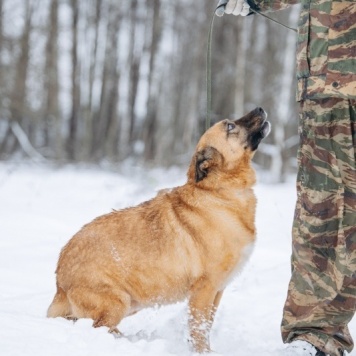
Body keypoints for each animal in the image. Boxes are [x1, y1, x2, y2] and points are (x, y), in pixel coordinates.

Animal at [47, 108, 270, 354]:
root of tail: (59, 281)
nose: (260, 109)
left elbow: (206, 326)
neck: (219, 191)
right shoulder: (204, 290)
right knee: (99, 327)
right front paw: (202, 352)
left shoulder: (216, 292)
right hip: (117, 302)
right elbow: (200, 330)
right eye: (230, 126)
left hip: (131, 303)